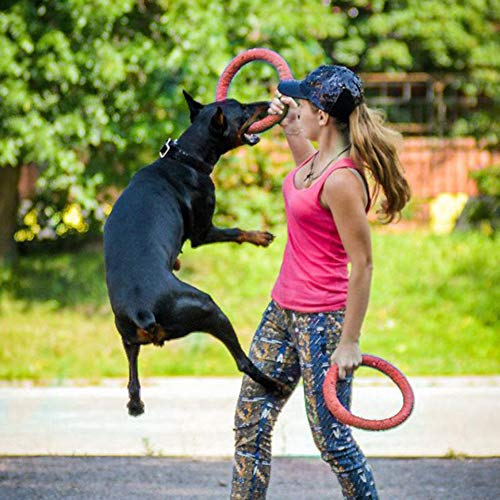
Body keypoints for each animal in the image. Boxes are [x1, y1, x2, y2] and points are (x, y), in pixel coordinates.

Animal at [103, 92, 284, 416]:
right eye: (244, 110)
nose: (266, 102)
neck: (185, 157)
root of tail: (142, 310)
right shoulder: (203, 231)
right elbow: (235, 231)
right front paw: (260, 236)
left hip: (126, 336)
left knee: (132, 380)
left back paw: (135, 404)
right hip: (208, 308)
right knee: (242, 361)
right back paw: (274, 384)